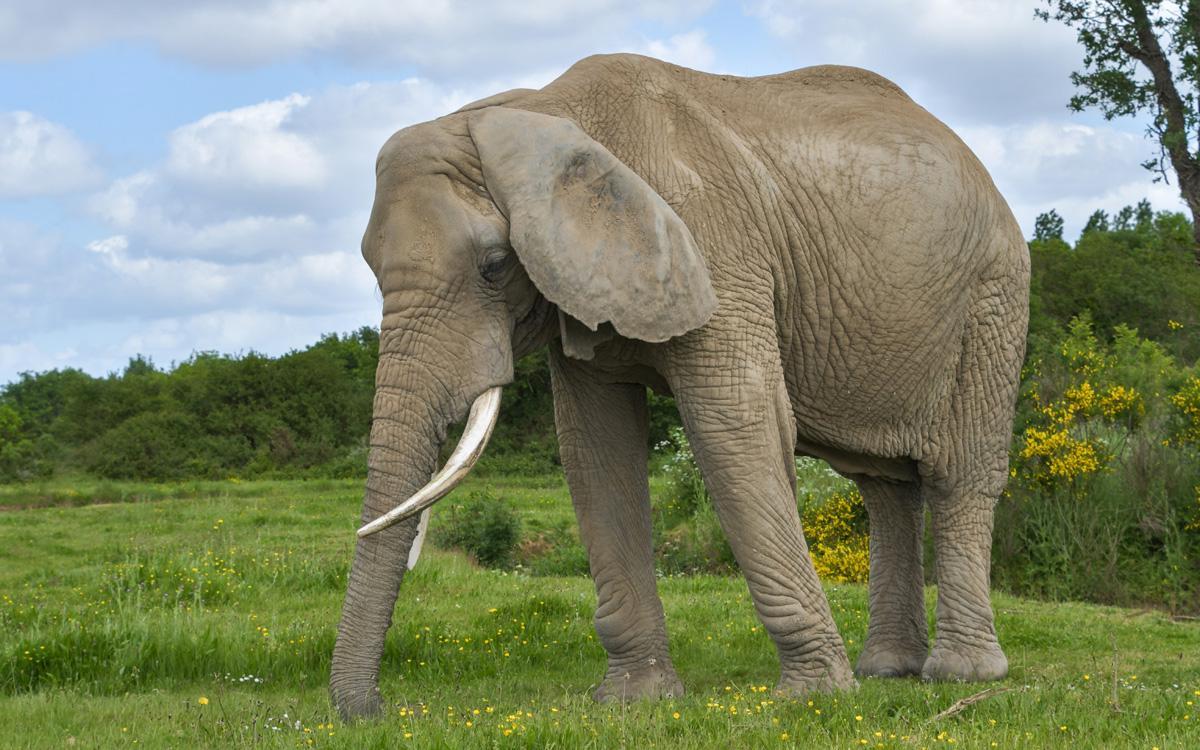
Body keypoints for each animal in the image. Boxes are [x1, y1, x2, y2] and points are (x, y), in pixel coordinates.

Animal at [330, 53, 1029, 720]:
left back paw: (960, 676)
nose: (375, 710)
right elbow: (595, 449)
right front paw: (634, 702)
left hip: (993, 294)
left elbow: (733, 427)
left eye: (495, 266)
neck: (540, 107)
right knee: (882, 484)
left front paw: (813, 699)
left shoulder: (717, 243)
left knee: (959, 474)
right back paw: (887, 671)